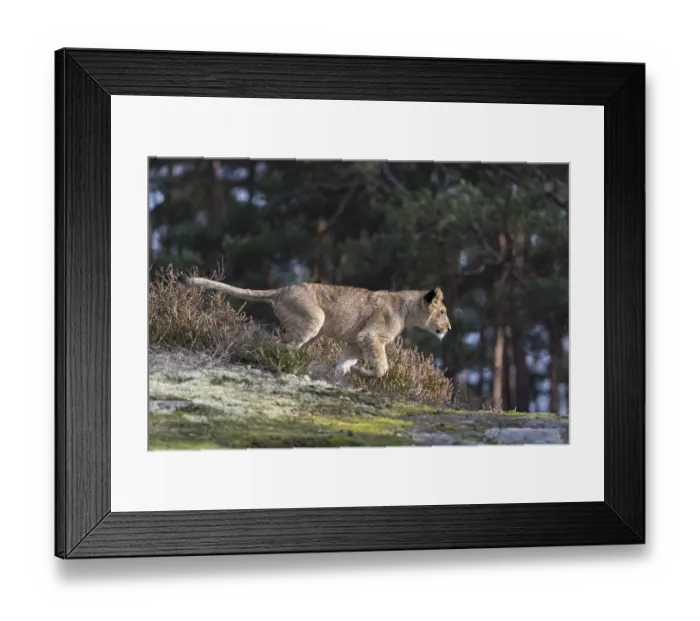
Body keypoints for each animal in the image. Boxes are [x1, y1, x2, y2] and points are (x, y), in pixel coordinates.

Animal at [177, 274, 451, 378]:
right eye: (443, 312)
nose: (449, 328)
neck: (407, 308)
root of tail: (283, 289)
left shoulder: (356, 340)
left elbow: (345, 361)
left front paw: (343, 373)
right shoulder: (372, 335)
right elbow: (383, 367)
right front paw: (362, 372)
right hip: (313, 319)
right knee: (279, 345)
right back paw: (284, 361)